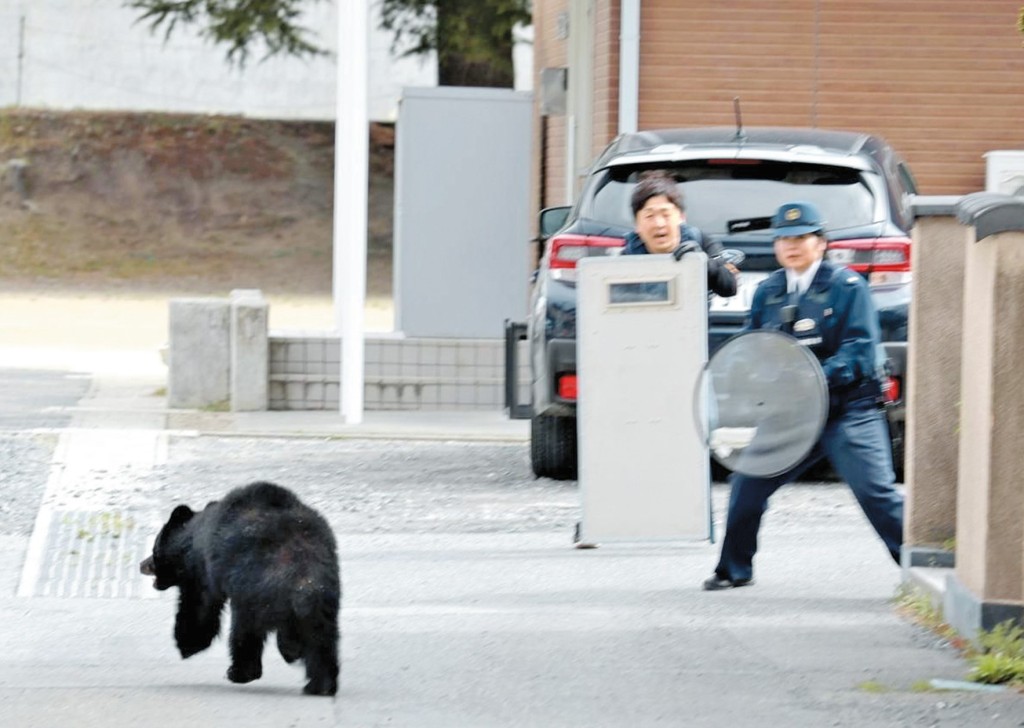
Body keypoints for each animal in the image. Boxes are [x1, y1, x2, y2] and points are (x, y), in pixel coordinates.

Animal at [140, 481, 341, 696]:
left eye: (154, 549)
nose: (142, 564)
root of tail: (305, 577)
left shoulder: (205, 570)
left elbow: (199, 606)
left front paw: (187, 643)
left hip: (255, 589)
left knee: (246, 629)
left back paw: (243, 670)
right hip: (324, 598)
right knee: (323, 640)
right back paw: (320, 685)